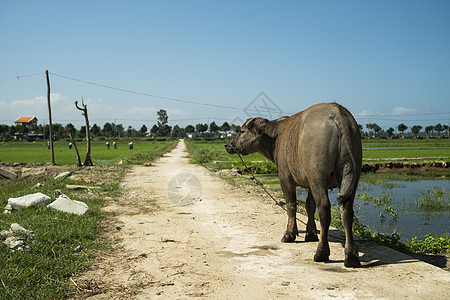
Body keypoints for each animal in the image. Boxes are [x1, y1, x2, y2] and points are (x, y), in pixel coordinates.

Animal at [225, 103, 362, 268]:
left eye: (241, 131)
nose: (228, 145)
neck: (276, 138)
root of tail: (337, 112)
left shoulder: (285, 179)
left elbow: (291, 206)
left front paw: (289, 234)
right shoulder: (309, 183)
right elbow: (309, 206)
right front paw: (310, 234)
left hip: (318, 177)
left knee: (324, 208)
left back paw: (321, 253)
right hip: (351, 175)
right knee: (347, 210)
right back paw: (351, 256)